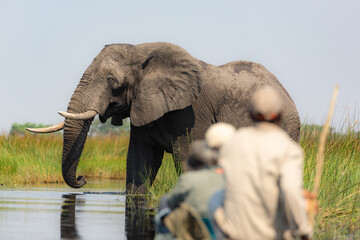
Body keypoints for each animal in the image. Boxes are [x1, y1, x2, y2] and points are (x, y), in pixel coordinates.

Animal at [28, 42, 300, 194]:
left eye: (113, 82)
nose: (83, 179)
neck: (144, 53)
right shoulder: (144, 106)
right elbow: (139, 160)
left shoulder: (190, 112)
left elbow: (187, 156)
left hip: (285, 127)